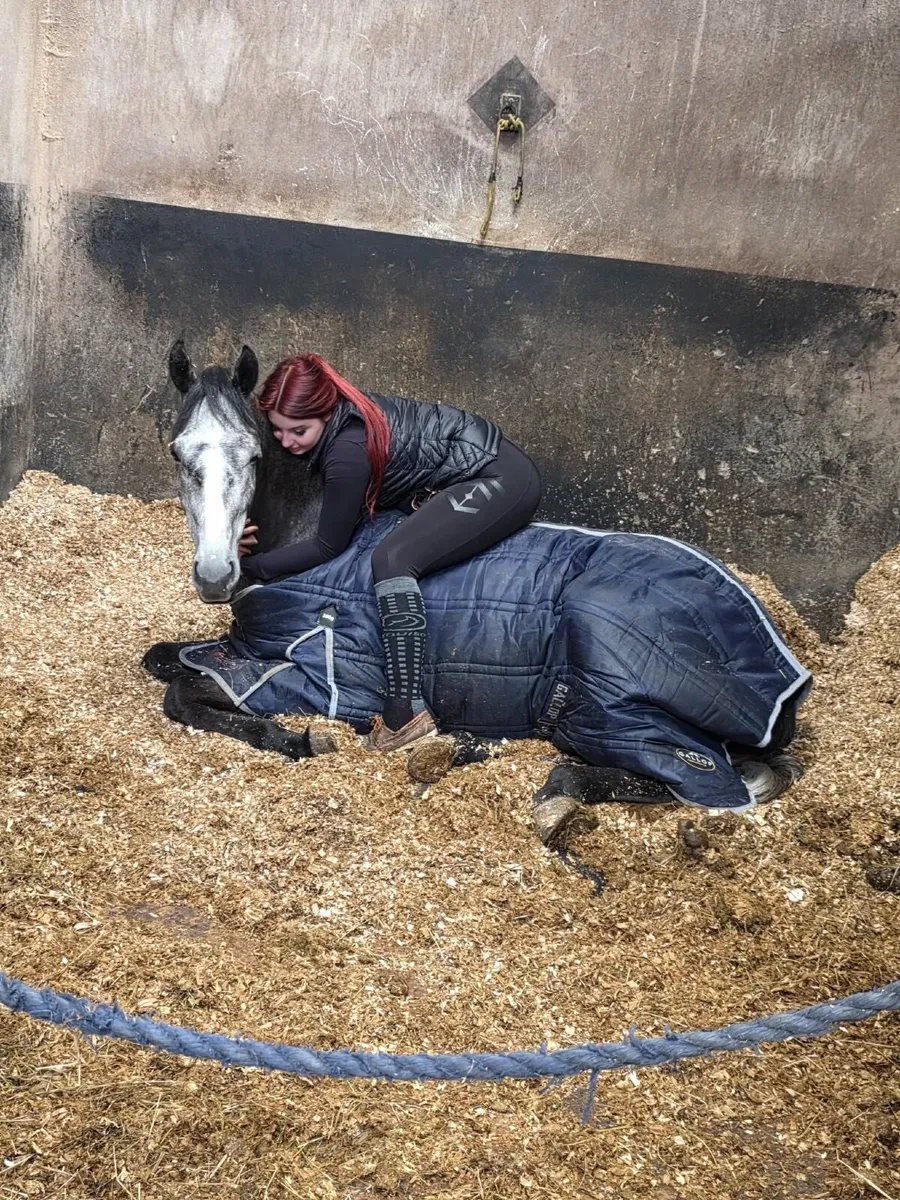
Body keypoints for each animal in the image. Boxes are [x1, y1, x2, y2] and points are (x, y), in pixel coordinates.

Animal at [143, 343, 809, 846]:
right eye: (177, 452)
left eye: (255, 455)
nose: (215, 574)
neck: (311, 541)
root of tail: (777, 669)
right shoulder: (244, 648)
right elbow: (161, 661)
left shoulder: (316, 677)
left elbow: (183, 693)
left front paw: (299, 740)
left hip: (613, 709)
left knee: (708, 784)